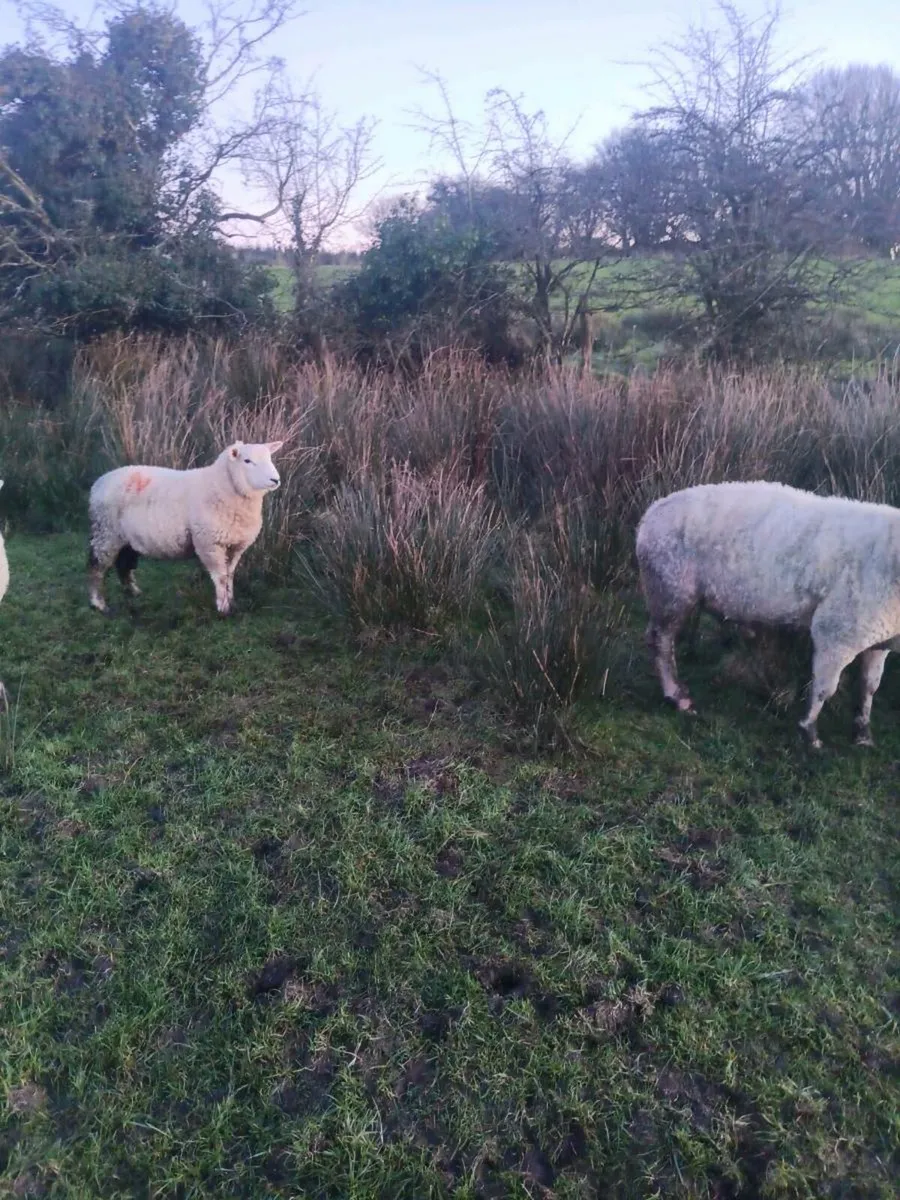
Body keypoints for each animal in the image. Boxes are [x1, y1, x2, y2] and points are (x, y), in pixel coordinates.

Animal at [88, 440, 283, 616]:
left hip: (126, 538)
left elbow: (229, 575)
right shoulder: (209, 543)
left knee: (123, 564)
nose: (276, 480)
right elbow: (220, 577)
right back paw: (99, 604)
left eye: (269, 457)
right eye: (247, 461)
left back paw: (133, 593)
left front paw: (231, 601)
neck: (221, 486)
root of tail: (99, 482)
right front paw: (223, 608)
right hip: (106, 532)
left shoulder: (235, 545)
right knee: (97, 567)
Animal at [636, 480, 900, 748]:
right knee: (660, 641)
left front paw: (863, 734)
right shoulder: (837, 633)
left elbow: (869, 687)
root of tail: (651, 514)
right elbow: (825, 688)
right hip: (670, 589)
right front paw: (809, 732)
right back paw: (677, 696)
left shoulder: (878, 639)